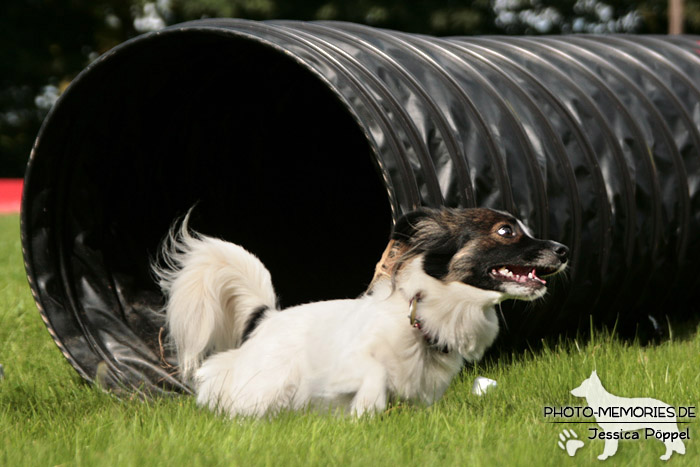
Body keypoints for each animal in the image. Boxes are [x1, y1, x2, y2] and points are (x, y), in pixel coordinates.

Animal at [154, 207, 568, 418]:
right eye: (505, 231)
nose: (563, 249)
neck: (422, 320)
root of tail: (266, 318)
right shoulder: (343, 365)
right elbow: (373, 373)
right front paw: (367, 409)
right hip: (265, 382)